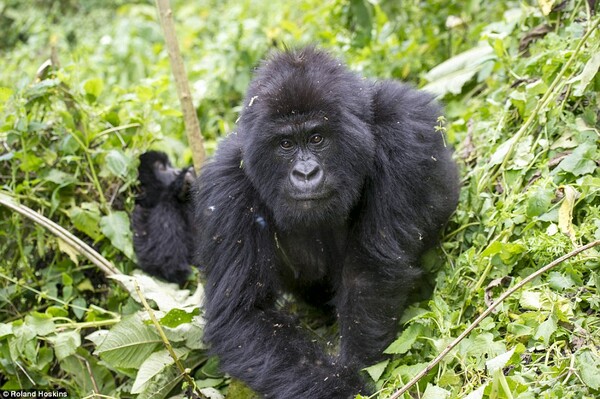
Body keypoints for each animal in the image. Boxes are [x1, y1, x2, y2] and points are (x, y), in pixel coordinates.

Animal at [132, 150, 196, 284]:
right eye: (162, 168)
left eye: (169, 165)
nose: (177, 171)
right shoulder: (147, 212)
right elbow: (167, 263)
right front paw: (180, 183)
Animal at [195, 47, 458, 399]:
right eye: (286, 144)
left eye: (317, 137)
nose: (305, 174)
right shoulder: (225, 186)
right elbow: (244, 314)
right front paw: (338, 385)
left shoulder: (405, 130)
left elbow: (370, 272)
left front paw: (355, 372)